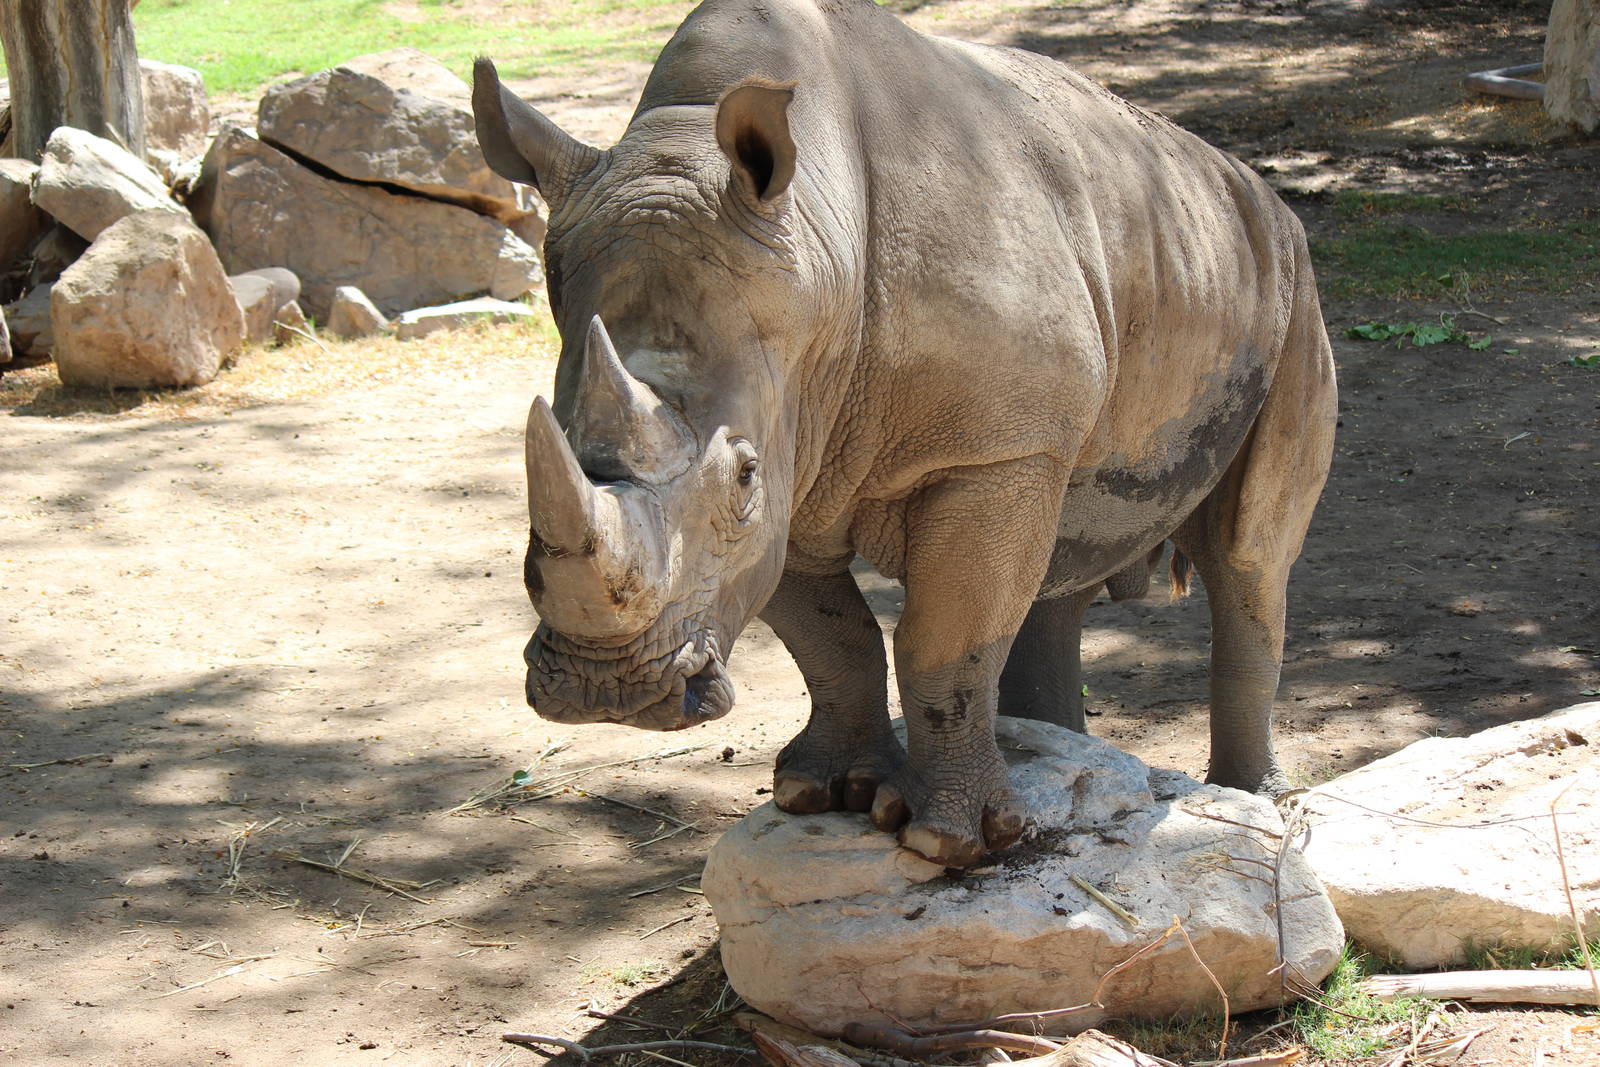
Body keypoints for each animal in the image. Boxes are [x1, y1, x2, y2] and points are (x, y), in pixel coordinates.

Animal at [474, 0, 1337, 868]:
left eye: (743, 477)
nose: (606, 690)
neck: (815, 250)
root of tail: (1261, 194)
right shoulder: (799, 441)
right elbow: (833, 635)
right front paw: (820, 792)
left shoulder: (991, 448)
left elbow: (941, 636)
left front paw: (948, 841)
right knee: (1062, 551)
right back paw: (1058, 755)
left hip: (1292, 287)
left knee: (1249, 554)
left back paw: (1252, 801)